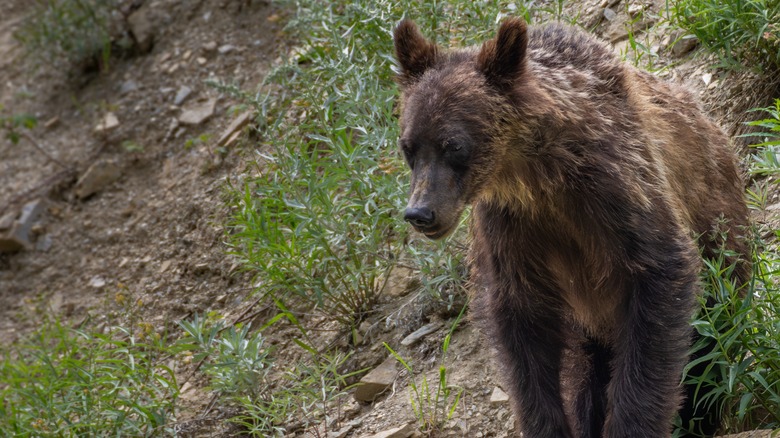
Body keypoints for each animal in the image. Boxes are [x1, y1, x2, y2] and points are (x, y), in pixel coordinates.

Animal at [396, 17, 748, 438]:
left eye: (453, 145)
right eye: (408, 147)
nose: (420, 212)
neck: (535, 175)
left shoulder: (615, 190)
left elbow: (659, 276)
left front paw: (632, 424)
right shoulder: (512, 228)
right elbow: (522, 325)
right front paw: (548, 424)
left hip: (717, 222)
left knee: (714, 332)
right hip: (587, 323)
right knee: (585, 374)